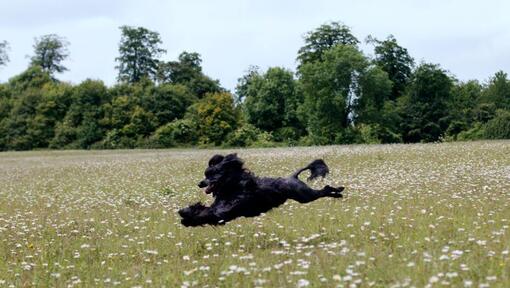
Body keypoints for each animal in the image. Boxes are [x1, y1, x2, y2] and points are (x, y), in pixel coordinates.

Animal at [177, 154, 344, 226]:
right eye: (206, 174)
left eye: (211, 174)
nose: (199, 183)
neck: (233, 186)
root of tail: (293, 177)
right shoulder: (220, 206)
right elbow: (203, 209)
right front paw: (185, 213)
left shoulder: (226, 210)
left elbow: (209, 214)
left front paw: (186, 216)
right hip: (304, 196)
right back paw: (339, 192)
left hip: (304, 196)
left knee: (324, 190)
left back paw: (338, 192)